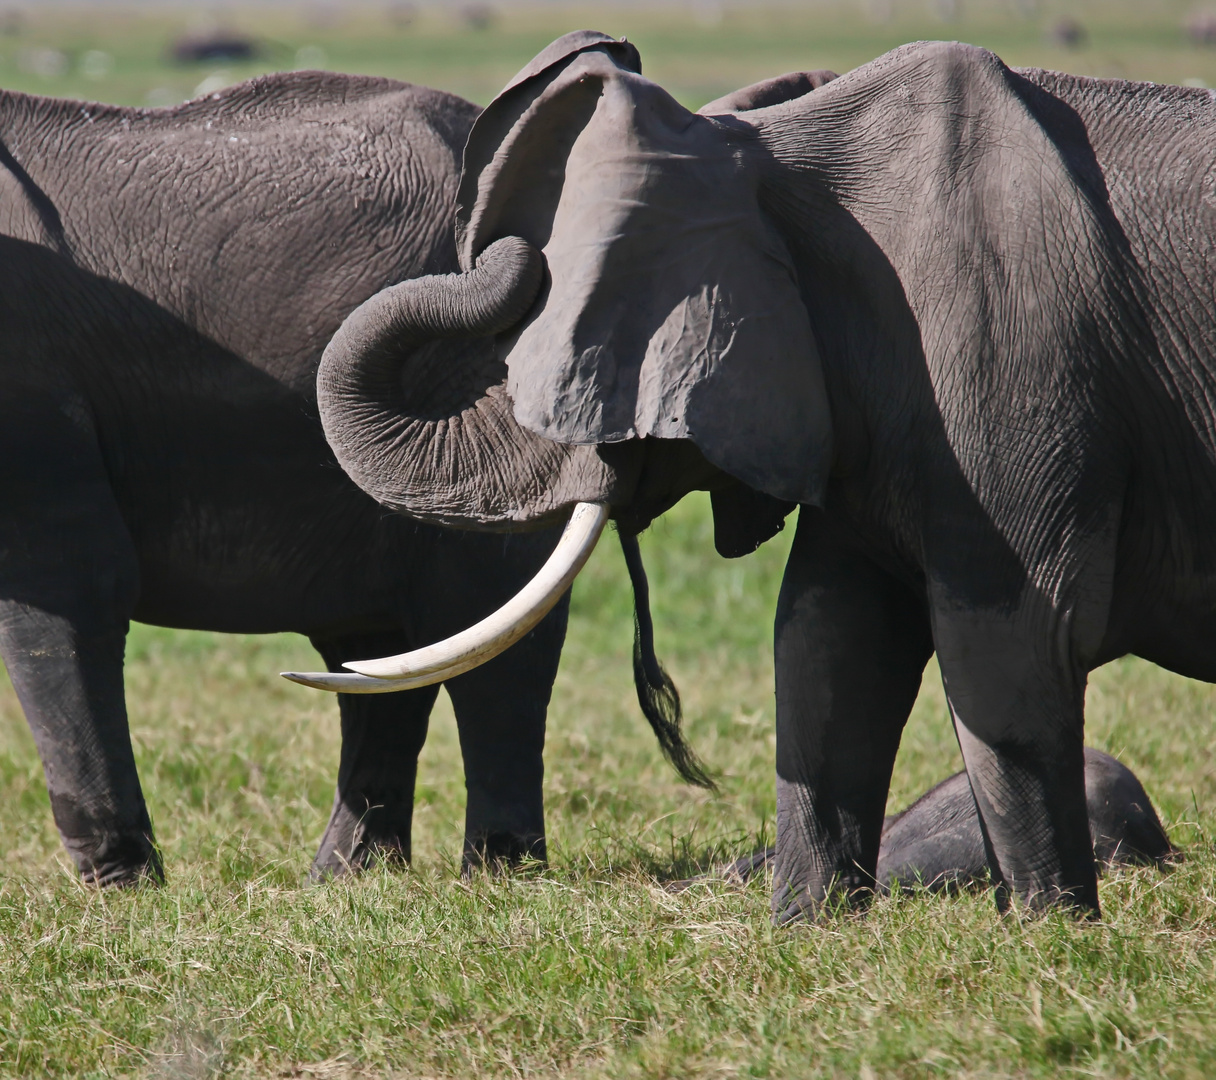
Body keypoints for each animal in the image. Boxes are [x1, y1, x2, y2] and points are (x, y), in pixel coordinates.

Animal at [0, 71, 705, 890]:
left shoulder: (29, 386)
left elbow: (71, 588)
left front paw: (126, 894)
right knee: (379, 653)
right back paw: (347, 879)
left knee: (485, 641)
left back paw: (493, 877)